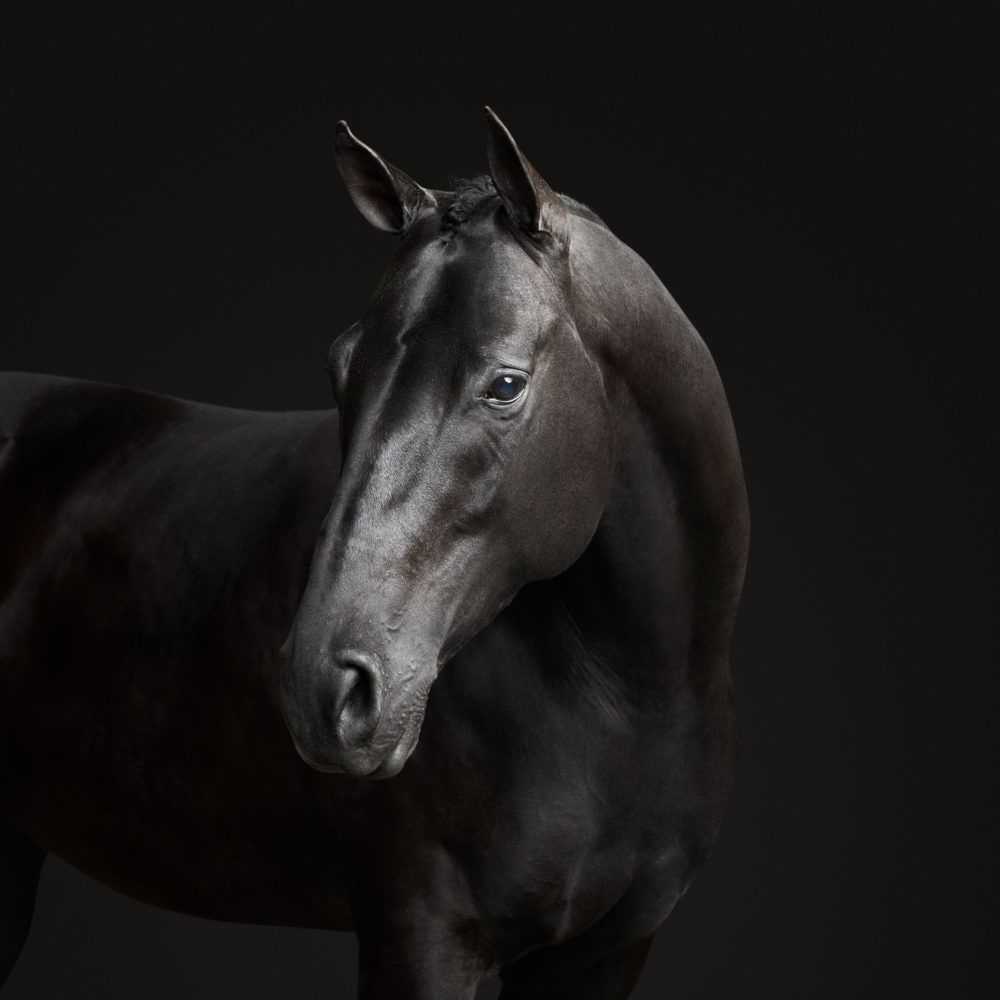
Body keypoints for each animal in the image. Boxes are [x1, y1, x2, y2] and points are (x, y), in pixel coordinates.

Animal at [0, 108, 750, 998]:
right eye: (341, 366)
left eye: (505, 384)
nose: (322, 687)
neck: (622, 696)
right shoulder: (425, 936)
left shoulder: (608, 952)